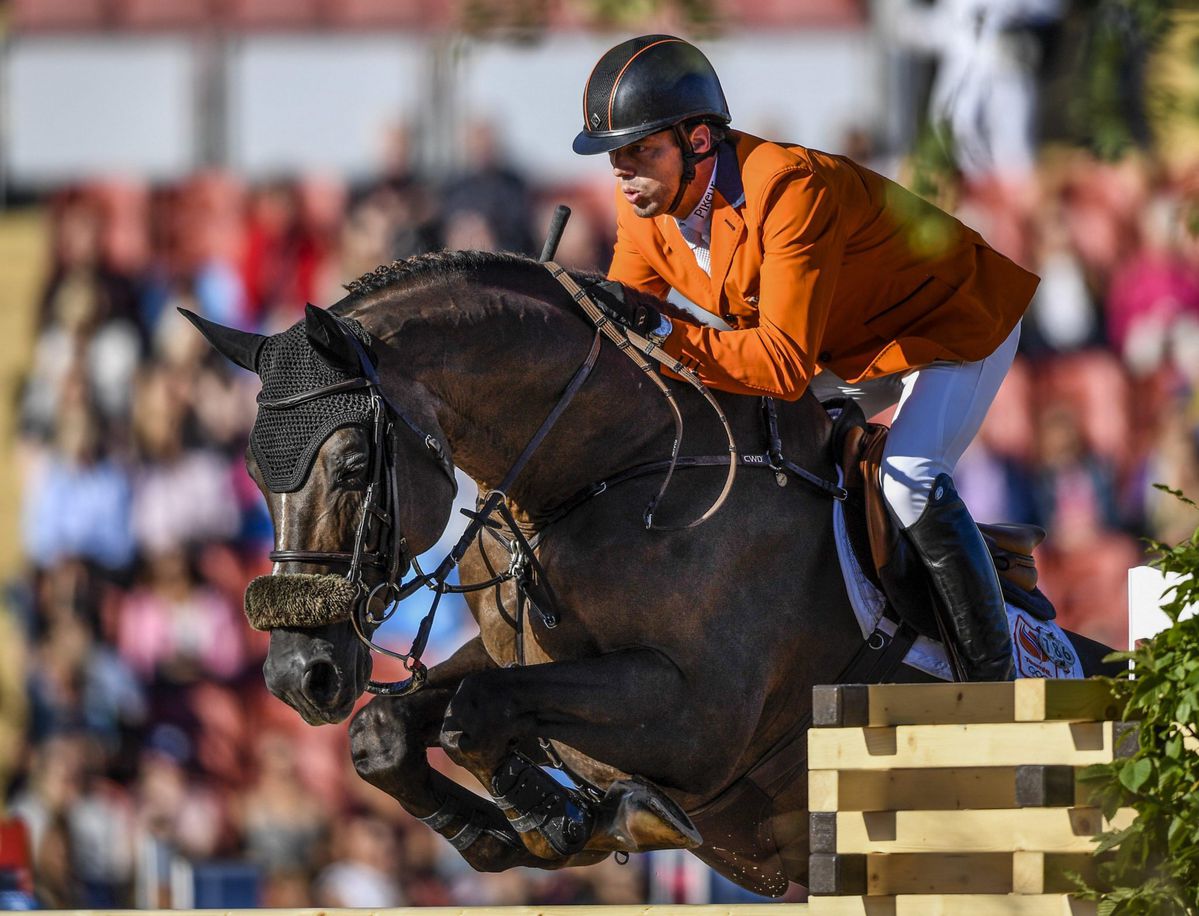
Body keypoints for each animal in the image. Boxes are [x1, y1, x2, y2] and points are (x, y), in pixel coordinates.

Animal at [184, 248, 1112, 896]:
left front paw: (563, 816)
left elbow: (474, 715)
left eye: (349, 466)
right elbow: (391, 729)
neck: (601, 476)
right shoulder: (521, 658)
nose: (299, 677)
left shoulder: (698, 720)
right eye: (252, 473)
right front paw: (509, 828)